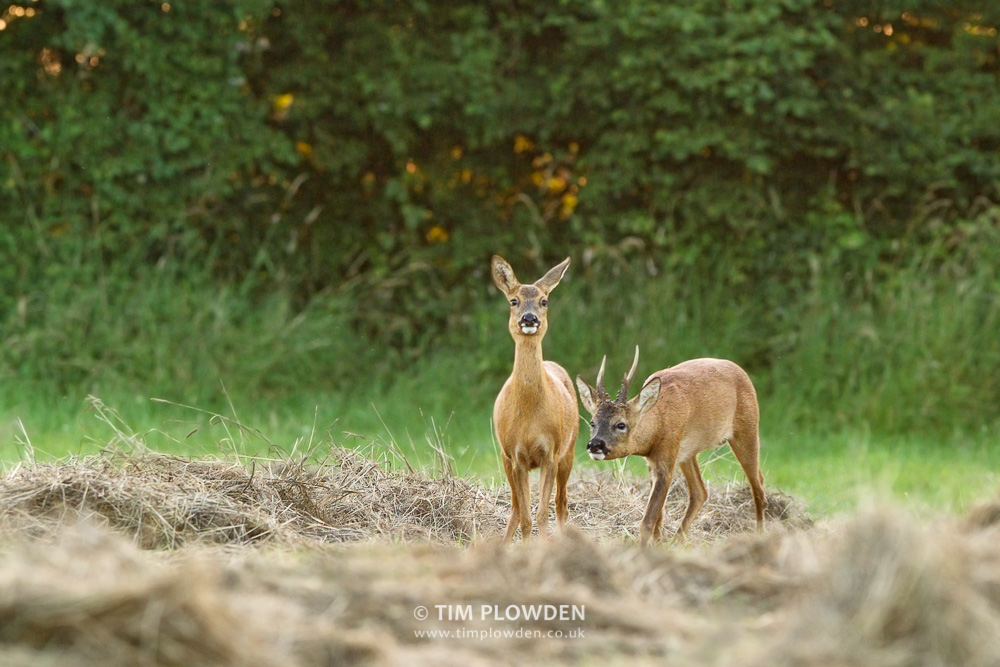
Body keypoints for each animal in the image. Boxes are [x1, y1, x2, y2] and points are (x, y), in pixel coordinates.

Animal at [491, 255, 578, 542]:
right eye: (513, 301)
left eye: (544, 301)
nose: (529, 318)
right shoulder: (516, 456)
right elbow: (527, 516)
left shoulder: (550, 452)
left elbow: (542, 514)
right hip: (505, 458)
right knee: (516, 509)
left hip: (570, 449)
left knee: (561, 504)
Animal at [576, 347, 766, 545]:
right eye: (592, 422)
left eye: (621, 424)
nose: (595, 444)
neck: (657, 423)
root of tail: (741, 371)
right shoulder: (652, 462)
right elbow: (658, 517)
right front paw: (658, 544)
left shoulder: (666, 458)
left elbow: (647, 521)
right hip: (687, 452)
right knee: (700, 492)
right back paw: (676, 541)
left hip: (747, 427)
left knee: (758, 485)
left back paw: (760, 535)